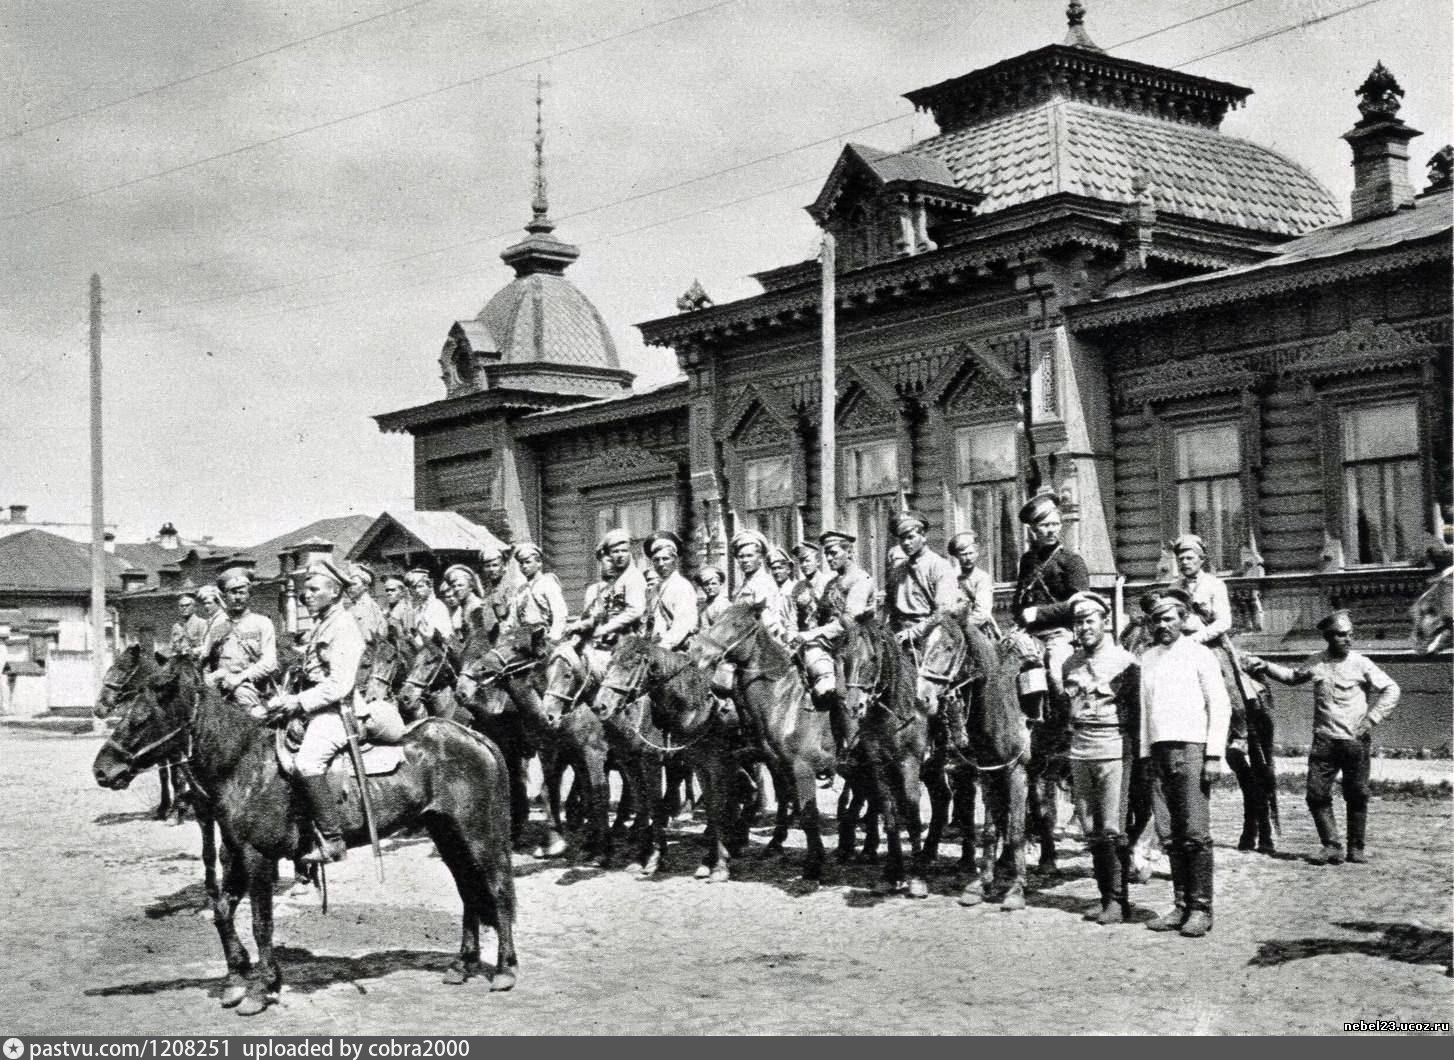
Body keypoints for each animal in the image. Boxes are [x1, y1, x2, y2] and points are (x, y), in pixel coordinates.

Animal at [89, 639, 517, 1012]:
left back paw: (505, 970)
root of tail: (473, 735)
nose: (102, 770)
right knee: (468, 889)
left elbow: (261, 922)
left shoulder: (258, 857)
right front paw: (236, 977)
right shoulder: (236, 854)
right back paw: (462, 965)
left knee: (496, 889)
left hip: (477, 835)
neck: (243, 764)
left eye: (140, 718)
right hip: (446, 834)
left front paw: (262, 988)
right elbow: (222, 910)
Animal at [689, 599, 837, 878]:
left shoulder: (801, 768)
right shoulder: (776, 763)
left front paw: (813, 863)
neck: (785, 699)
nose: (698, 651)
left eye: (737, 624)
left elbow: (807, 814)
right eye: (716, 620)